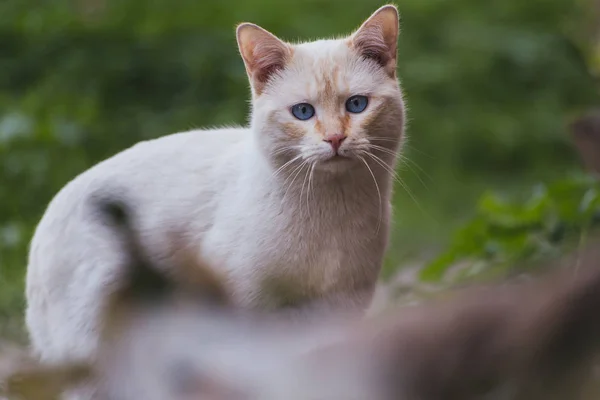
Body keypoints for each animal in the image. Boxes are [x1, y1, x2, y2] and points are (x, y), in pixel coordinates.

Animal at [25, 3, 406, 374]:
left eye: (356, 104)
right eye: (302, 112)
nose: (335, 139)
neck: (331, 214)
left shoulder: (337, 311)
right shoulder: (243, 311)